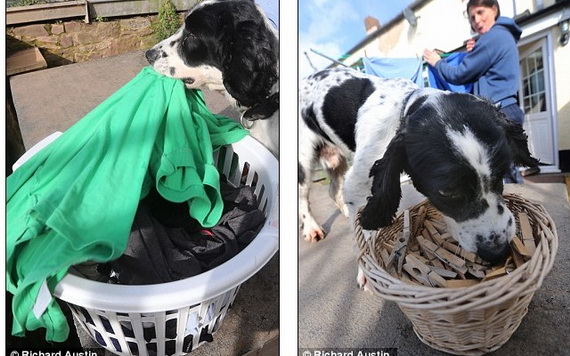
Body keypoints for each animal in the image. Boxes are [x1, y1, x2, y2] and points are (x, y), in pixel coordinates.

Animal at [298, 67, 536, 272]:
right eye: (447, 192)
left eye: (502, 173)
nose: (497, 252)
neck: (403, 108)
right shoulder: (357, 186)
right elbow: (362, 237)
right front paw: (365, 274)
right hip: (302, 161)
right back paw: (311, 228)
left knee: (333, 190)